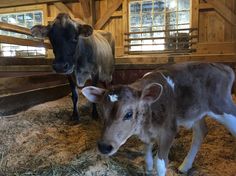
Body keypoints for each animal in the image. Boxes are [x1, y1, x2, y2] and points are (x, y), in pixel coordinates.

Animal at [81, 62, 236, 175]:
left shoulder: (169, 131)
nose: (104, 146)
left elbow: (160, 164)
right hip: (196, 112)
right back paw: (185, 166)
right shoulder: (146, 135)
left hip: (223, 107)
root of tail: (224, 67)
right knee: (201, 132)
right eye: (101, 112)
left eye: (129, 114)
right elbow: (148, 160)